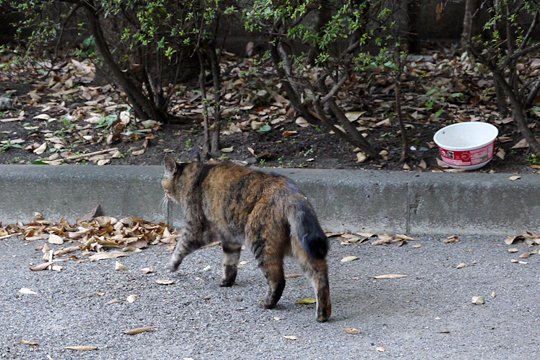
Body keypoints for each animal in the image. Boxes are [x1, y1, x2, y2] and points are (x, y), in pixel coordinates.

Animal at [160, 153, 332, 322]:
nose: (164, 193)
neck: (192, 175)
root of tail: (292, 194)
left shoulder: (197, 228)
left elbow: (180, 247)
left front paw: (172, 265)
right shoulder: (230, 236)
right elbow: (229, 262)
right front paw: (227, 281)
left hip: (261, 242)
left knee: (278, 279)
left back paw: (268, 303)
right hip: (302, 246)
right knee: (320, 276)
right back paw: (323, 314)